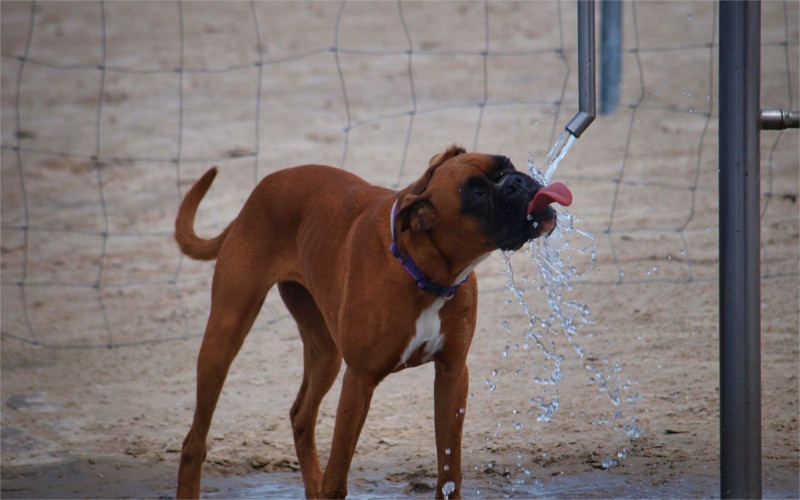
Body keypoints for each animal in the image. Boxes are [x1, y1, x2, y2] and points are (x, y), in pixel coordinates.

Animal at [175, 143, 576, 498]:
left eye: (506, 164)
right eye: (476, 195)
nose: (516, 182)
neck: (424, 270)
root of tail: (256, 194)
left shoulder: (451, 374)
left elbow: (450, 470)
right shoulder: (359, 381)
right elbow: (337, 478)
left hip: (325, 352)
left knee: (301, 416)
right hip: (225, 335)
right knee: (195, 440)